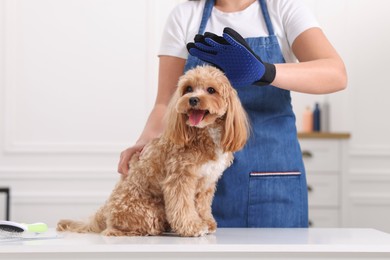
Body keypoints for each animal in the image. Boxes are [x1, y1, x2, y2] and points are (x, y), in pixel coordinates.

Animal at [56, 65, 248, 238]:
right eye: (188, 89)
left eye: (211, 90)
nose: (192, 99)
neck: (204, 135)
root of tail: (106, 209)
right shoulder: (179, 179)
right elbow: (183, 206)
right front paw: (192, 227)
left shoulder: (207, 182)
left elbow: (202, 206)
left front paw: (206, 222)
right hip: (146, 212)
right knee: (116, 229)